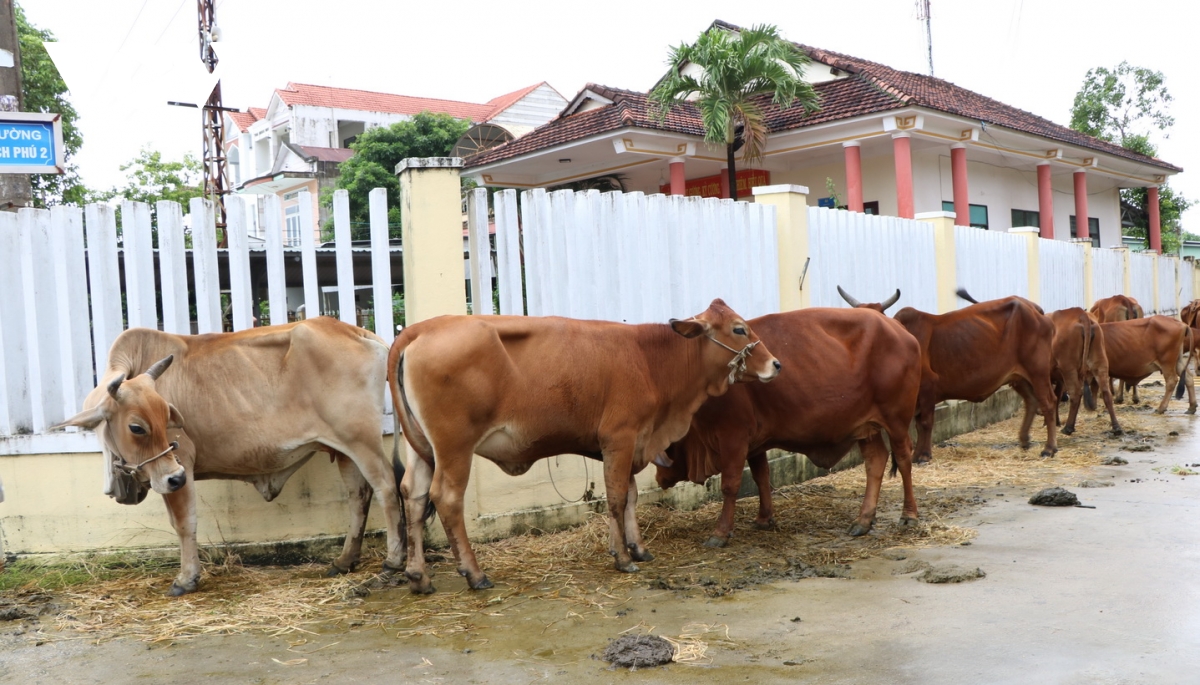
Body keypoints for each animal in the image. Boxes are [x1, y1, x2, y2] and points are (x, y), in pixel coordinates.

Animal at [52, 318, 406, 596]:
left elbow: (184, 523)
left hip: (361, 440)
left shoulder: (181, 466)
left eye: (165, 417)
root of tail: (359, 332)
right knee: (358, 496)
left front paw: (186, 578)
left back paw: (392, 562)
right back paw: (345, 560)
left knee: (387, 488)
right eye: (136, 427)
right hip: (343, 449)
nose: (175, 477)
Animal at [388, 299, 780, 594]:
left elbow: (631, 496)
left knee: (413, 495)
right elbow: (617, 497)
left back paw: (418, 575)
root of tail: (420, 328)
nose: (776, 364)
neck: (650, 359)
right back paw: (474, 573)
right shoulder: (620, 439)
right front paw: (622, 558)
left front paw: (638, 548)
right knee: (447, 498)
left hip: (422, 449)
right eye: (739, 328)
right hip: (454, 448)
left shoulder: (631, 443)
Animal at [655, 304, 921, 547]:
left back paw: (909, 514)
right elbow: (762, 476)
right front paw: (764, 518)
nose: (659, 477)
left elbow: (730, 485)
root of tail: (895, 325)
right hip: (866, 427)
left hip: (896, 419)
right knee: (875, 461)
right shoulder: (754, 443)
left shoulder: (733, 437)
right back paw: (863, 520)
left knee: (903, 458)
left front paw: (720, 532)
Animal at [840, 287, 1058, 463]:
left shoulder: (927, 388)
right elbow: (918, 424)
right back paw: (1024, 440)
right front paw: (917, 454)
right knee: (1032, 401)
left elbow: (925, 423)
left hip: (1037, 371)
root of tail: (1035, 309)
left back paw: (1049, 448)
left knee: (1048, 402)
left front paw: (923, 455)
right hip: (1018, 376)